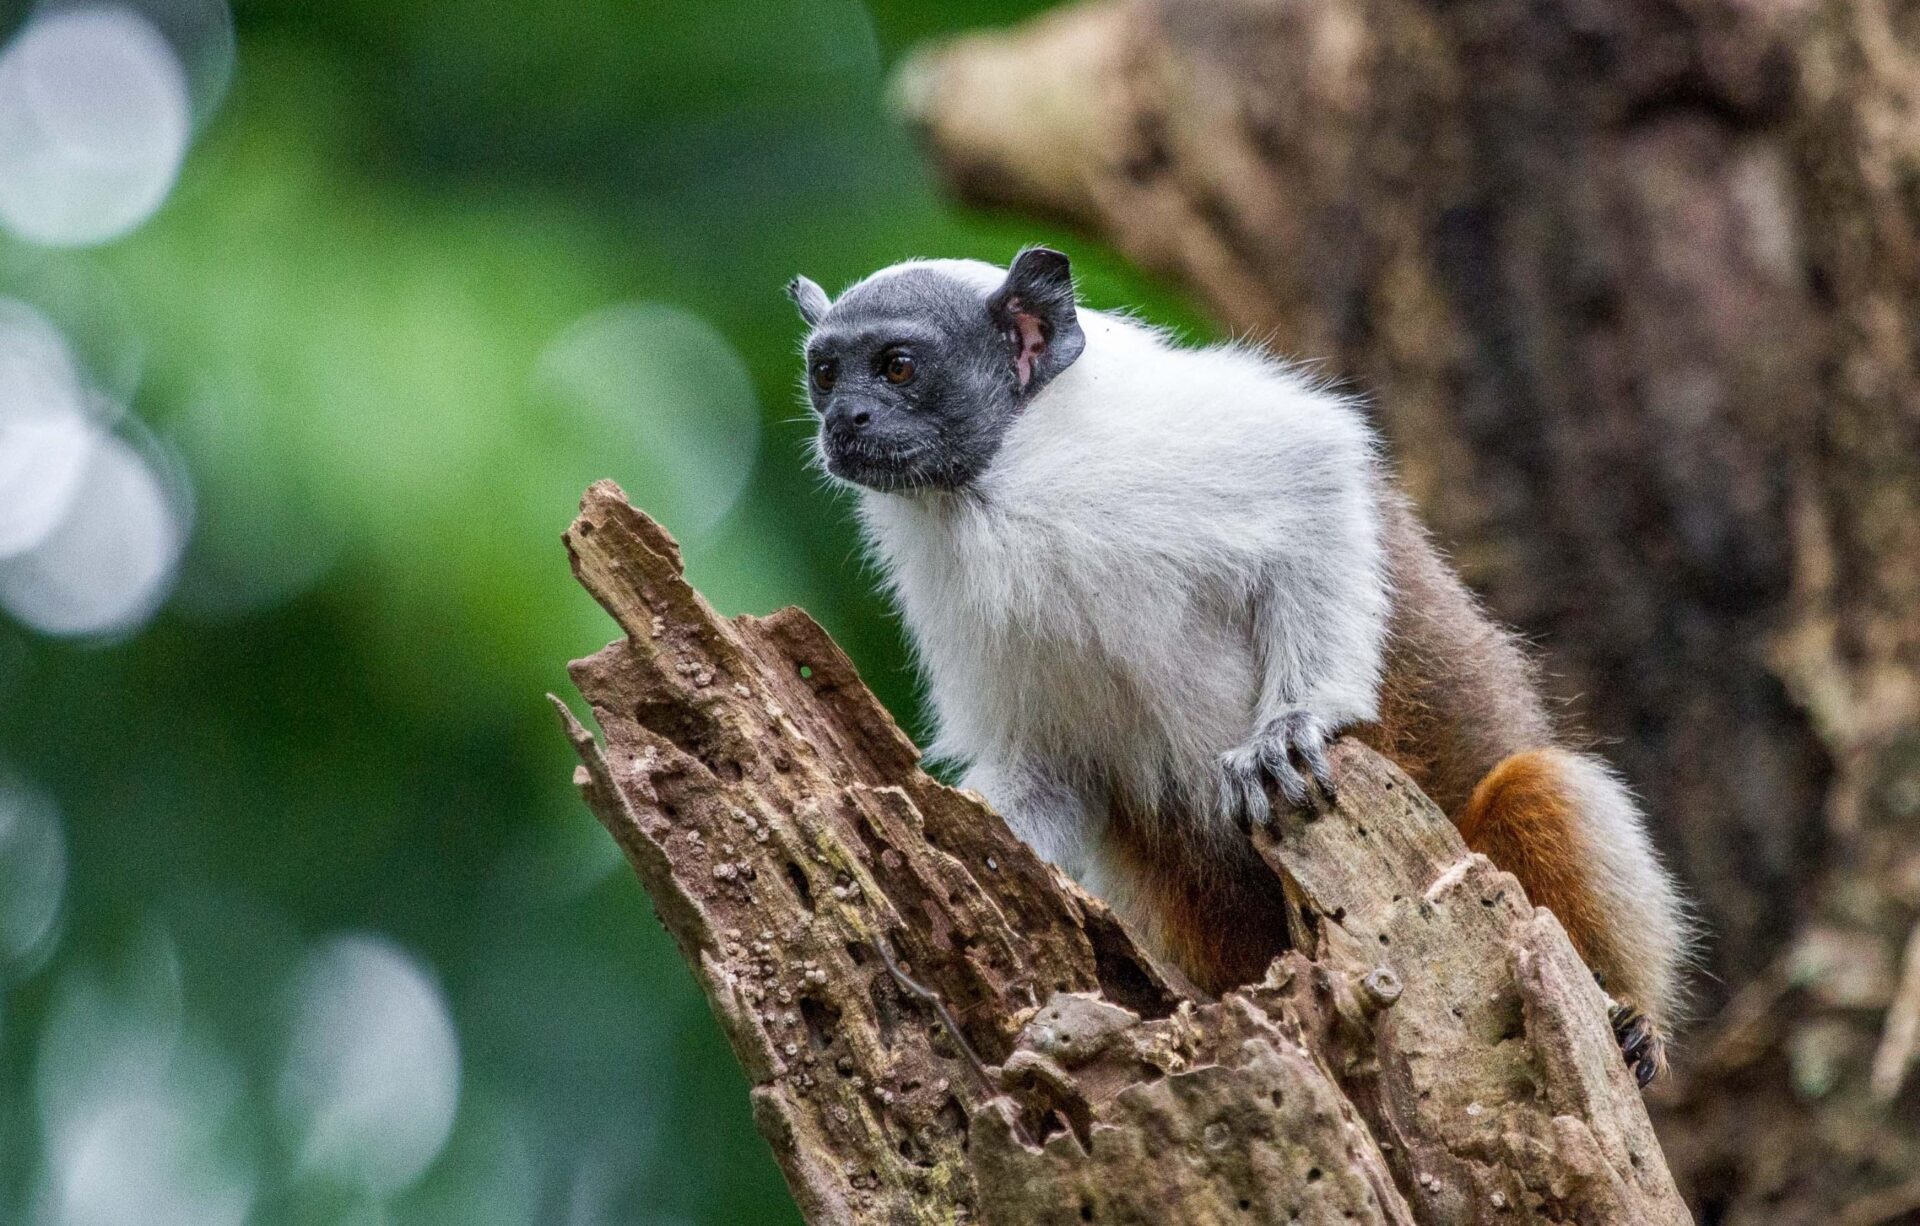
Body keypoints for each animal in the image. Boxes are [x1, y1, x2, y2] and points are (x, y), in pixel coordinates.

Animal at [787, 247, 1689, 1082]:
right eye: (826, 374)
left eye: (897, 367)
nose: (847, 419)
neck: (1004, 480)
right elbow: (1044, 775)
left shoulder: (1154, 446)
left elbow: (1316, 469)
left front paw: (1294, 726)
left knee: (1540, 785)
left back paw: (1630, 1020)